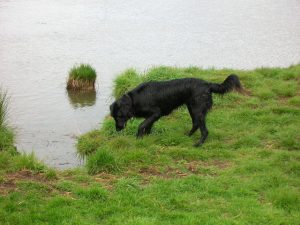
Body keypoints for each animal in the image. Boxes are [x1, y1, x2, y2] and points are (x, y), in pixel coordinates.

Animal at [109, 74, 241, 147]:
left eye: (120, 116)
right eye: (114, 117)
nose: (118, 129)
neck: (134, 99)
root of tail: (207, 84)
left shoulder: (156, 113)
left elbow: (142, 125)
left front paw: (139, 138)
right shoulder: (152, 116)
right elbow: (148, 126)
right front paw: (146, 138)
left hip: (198, 109)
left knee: (204, 130)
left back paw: (198, 144)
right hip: (192, 108)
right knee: (195, 124)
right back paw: (187, 136)